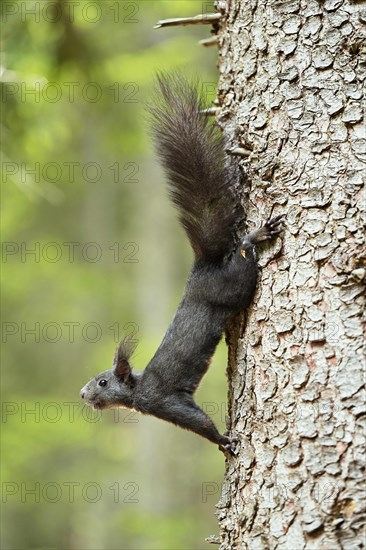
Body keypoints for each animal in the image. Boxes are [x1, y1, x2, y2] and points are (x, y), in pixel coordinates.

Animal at [80, 73, 284, 452]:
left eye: (102, 382)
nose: (82, 394)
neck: (137, 390)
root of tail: (203, 264)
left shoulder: (163, 402)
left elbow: (198, 422)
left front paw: (224, 440)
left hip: (235, 285)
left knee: (244, 257)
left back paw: (256, 236)